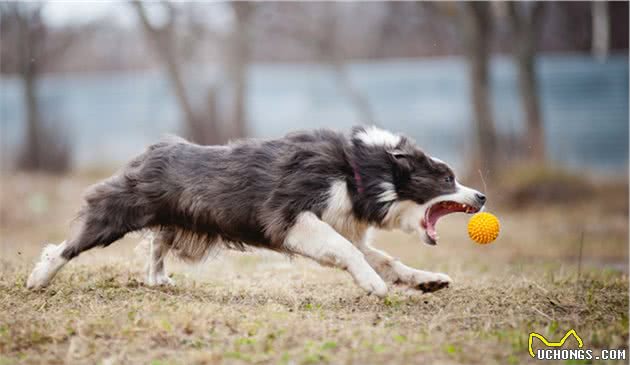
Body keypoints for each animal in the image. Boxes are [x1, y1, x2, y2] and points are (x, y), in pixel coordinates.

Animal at [27, 126, 486, 296]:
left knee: (157, 243)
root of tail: (151, 150)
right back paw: (38, 278)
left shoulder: (340, 224)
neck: (359, 172)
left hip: (174, 217)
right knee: (68, 245)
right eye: (447, 178)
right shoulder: (292, 218)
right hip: (120, 209)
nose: (481, 196)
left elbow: (386, 257)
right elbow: (349, 251)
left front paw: (428, 280)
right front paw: (373, 285)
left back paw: (158, 279)